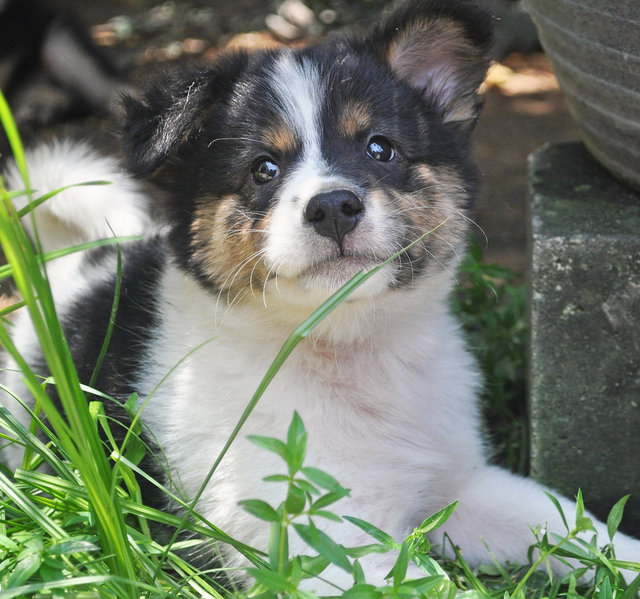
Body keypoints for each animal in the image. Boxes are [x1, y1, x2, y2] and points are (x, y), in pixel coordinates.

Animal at [1, 0, 640, 592]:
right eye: (263, 168)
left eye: (380, 148)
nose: (333, 206)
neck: (343, 349)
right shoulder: (314, 547)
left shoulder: (462, 486)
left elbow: (583, 530)